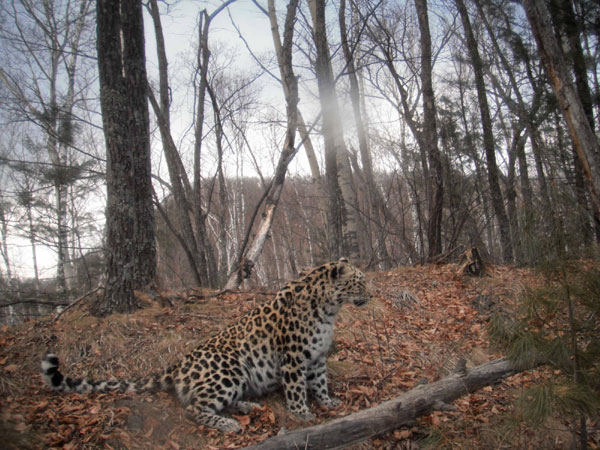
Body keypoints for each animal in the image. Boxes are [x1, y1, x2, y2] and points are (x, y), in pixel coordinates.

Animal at [41, 256, 370, 432]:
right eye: (359, 281)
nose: (372, 293)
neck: (329, 308)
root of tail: (178, 365)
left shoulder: (316, 358)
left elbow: (320, 382)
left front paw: (328, 402)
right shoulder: (293, 359)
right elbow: (297, 389)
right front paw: (302, 413)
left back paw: (248, 406)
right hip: (230, 367)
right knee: (194, 407)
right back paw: (229, 424)